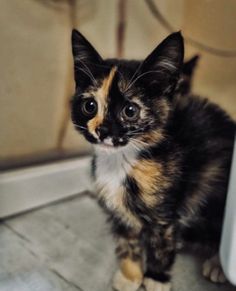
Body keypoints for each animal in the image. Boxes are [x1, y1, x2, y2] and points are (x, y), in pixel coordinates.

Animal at [70, 30, 236, 291]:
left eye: (130, 111)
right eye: (90, 106)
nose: (102, 130)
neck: (123, 160)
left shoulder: (165, 211)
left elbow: (160, 244)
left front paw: (155, 279)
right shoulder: (120, 209)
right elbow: (127, 240)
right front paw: (129, 276)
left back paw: (217, 265)